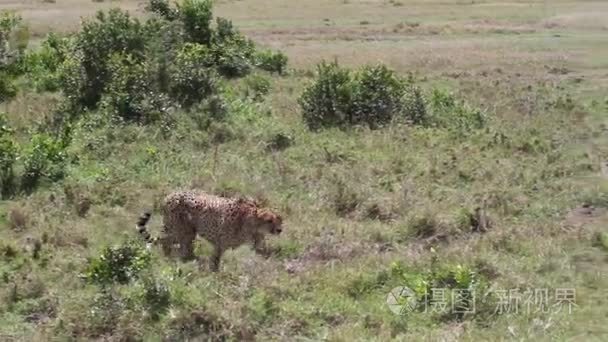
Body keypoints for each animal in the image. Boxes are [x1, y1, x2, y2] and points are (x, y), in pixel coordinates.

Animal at [135, 191, 282, 272]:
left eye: (279, 220)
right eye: (269, 220)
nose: (279, 230)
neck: (252, 223)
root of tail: (170, 196)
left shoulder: (257, 245)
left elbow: (263, 253)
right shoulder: (220, 244)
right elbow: (216, 260)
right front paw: (215, 274)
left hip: (183, 232)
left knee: (170, 242)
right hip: (181, 231)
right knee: (167, 241)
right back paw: (174, 259)